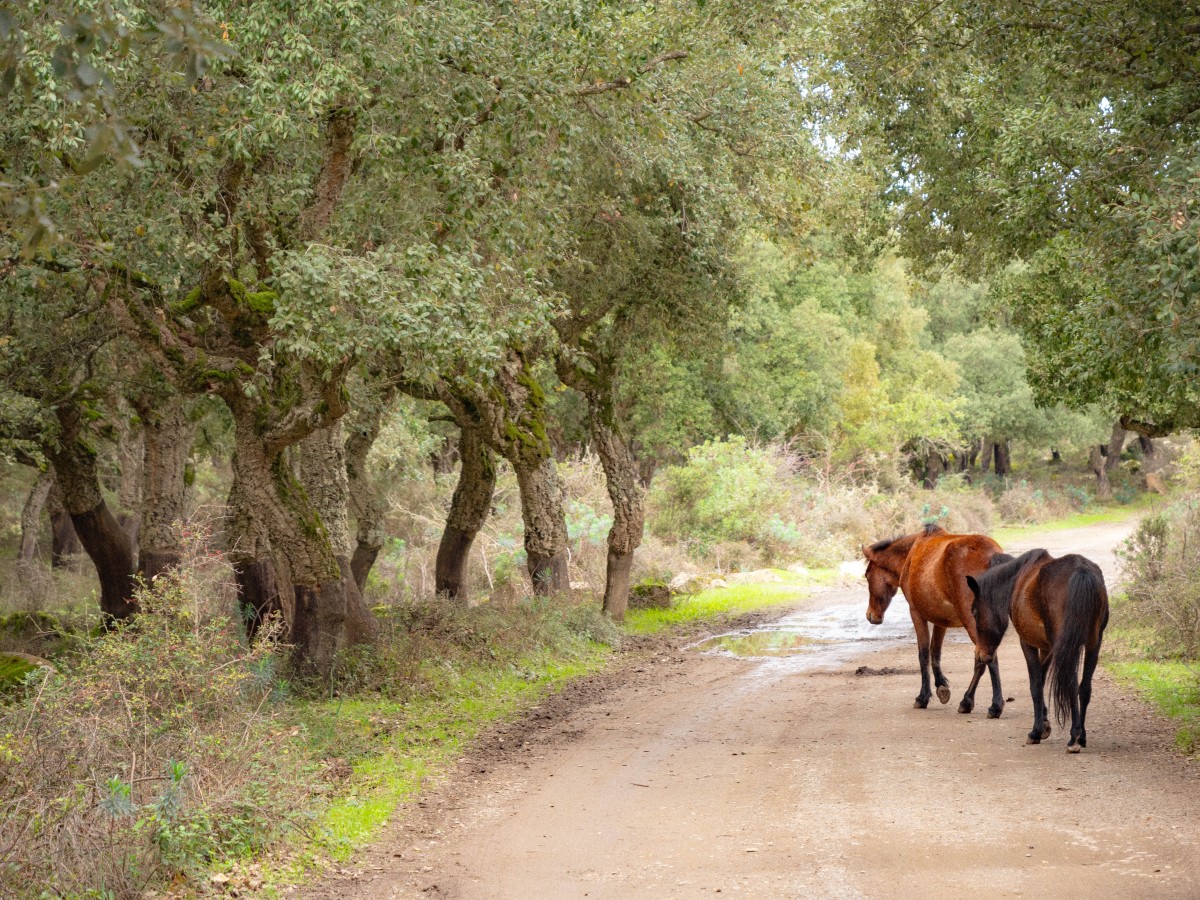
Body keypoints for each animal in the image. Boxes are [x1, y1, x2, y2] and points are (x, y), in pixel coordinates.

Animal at [864, 525, 1003, 715]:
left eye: (867, 575)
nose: (871, 615)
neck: (911, 554)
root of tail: (990, 556)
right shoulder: (941, 620)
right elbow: (935, 652)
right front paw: (941, 687)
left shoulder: (916, 613)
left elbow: (923, 654)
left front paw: (923, 697)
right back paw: (969, 702)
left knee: (986, 657)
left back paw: (990, 705)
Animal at [960, 549, 1108, 753]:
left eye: (974, 611)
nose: (981, 655)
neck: (1018, 580)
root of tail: (1082, 571)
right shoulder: (1047, 648)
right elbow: (1042, 679)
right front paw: (1044, 723)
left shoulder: (1027, 643)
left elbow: (1036, 685)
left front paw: (1036, 731)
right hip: (1094, 644)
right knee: (1084, 687)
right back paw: (1082, 736)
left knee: (1070, 684)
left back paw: (1074, 738)